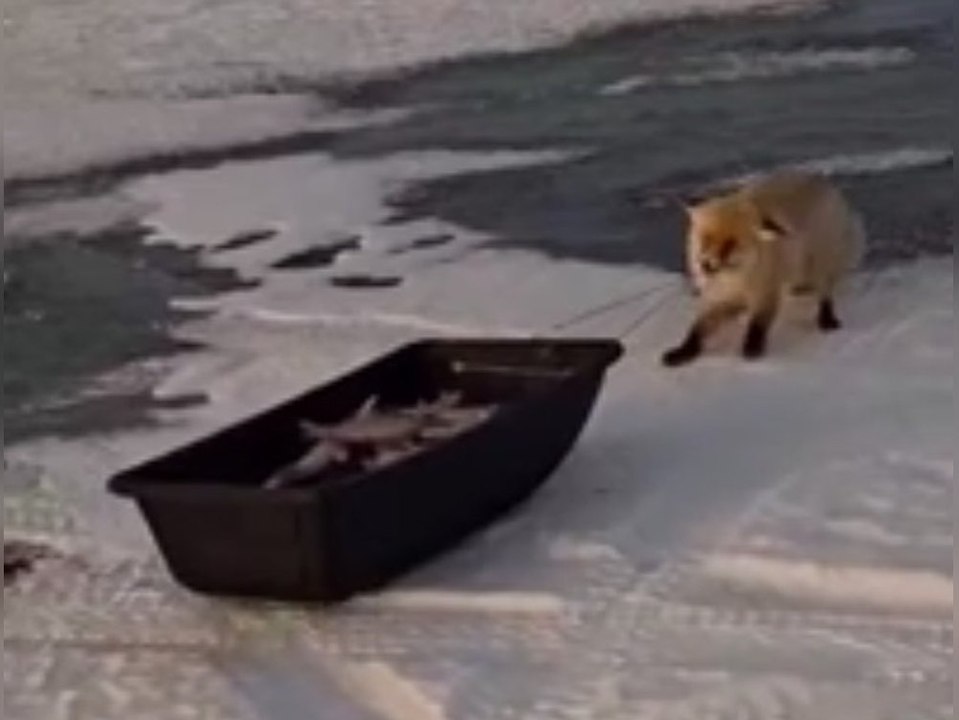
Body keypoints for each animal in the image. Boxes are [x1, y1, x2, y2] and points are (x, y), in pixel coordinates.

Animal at [662, 169, 865, 367]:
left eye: (730, 244)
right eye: (706, 239)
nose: (705, 264)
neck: (736, 279)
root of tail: (821, 179)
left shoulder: (766, 292)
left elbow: (758, 324)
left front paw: (752, 347)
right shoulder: (717, 297)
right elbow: (697, 329)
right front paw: (683, 351)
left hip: (820, 263)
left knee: (825, 293)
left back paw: (826, 318)